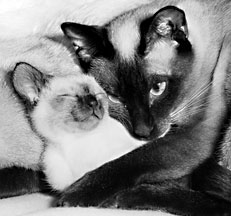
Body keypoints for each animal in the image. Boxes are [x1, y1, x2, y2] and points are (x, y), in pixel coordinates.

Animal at [56, 0, 231, 215]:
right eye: (114, 97)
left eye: (157, 88)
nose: (143, 133)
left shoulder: (201, 131)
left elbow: (132, 160)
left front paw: (72, 196)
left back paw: (129, 196)